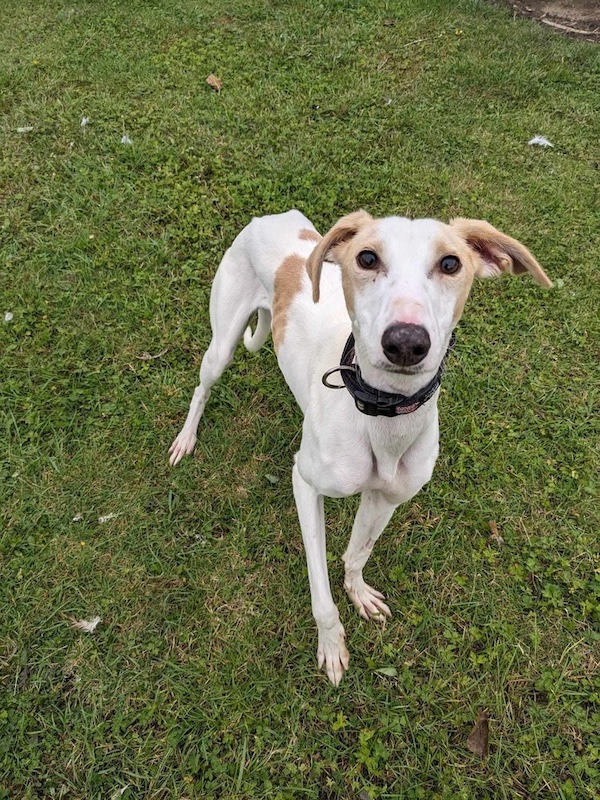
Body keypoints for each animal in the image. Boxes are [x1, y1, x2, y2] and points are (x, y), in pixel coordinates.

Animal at [169, 209, 552, 684]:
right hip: (221, 343)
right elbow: (320, 589)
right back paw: (185, 439)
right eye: (367, 258)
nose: (406, 342)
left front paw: (359, 594)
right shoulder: (304, 484)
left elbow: (356, 553)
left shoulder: (386, 498)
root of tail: (271, 215)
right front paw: (332, 645)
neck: (382, 416)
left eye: (450, 263)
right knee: (202, 387)